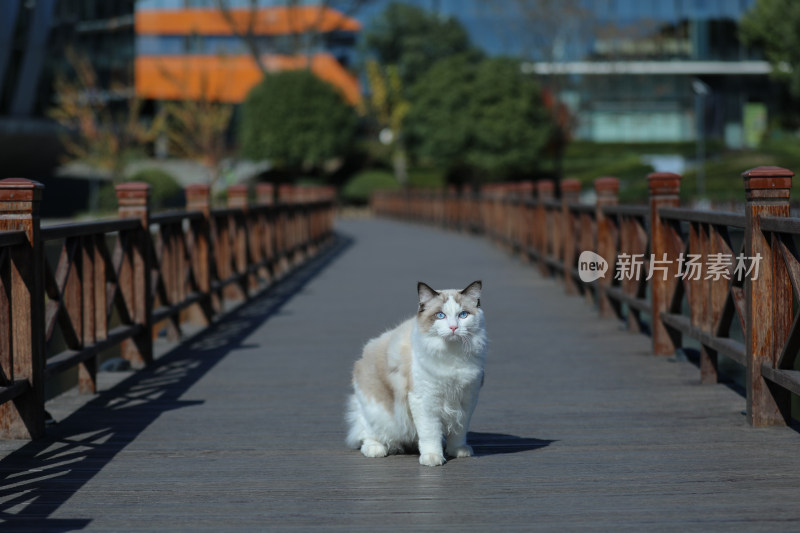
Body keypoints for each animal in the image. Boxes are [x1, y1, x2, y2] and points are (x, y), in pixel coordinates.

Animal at [346, 278, 488, 466]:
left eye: (463, 315)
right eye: (440, 315)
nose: (453, 327)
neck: (452, 355)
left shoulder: (466, 399)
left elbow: (459, 432)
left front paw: (457, 451)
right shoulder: (425, 400)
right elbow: (430, 433)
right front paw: (432, 458)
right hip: (378, 413)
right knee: (367, 434)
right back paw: (377, 449)